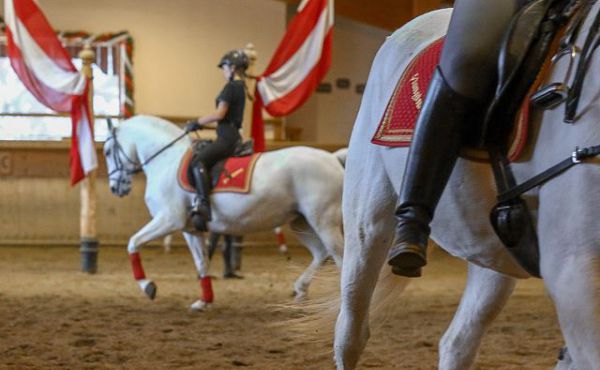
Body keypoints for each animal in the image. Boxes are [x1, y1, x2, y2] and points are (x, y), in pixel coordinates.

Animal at [105, 115, 344, 310]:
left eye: (107, 151)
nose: (115, 188)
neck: (166, 161)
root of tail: (333, 158)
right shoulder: (191, 230)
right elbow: (202, 263)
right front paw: (204, 301)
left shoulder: (169, 220)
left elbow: (133, 243)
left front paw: (148, 286)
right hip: (301, 222)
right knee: (321, 253)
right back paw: (300, 290)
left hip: (324, 222)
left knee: (340, 256)